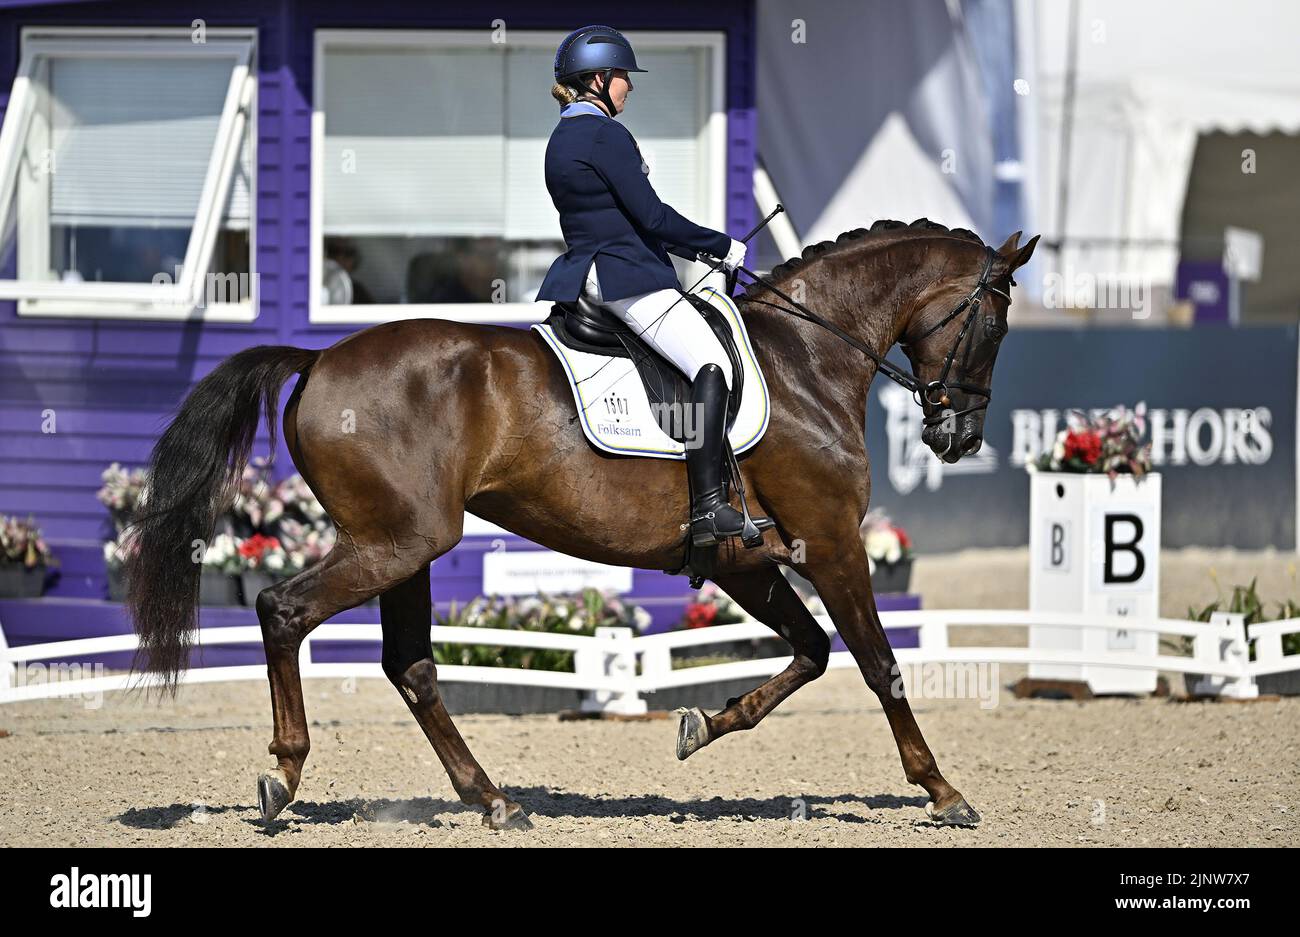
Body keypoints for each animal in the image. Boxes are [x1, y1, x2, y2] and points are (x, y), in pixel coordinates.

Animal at [122, 219, 1034, 826]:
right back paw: (285, 777)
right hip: (395, 543)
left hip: (406, 547)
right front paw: (943, 789)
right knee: (283, 610)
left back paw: (492, 799)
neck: (807, 359)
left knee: (411, 666)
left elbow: (810, 652)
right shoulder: (835, 542)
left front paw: (701, 725)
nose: (959, 438)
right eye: (993, 324)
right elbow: (880, 665)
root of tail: (318, 360)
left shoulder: (743, 558)